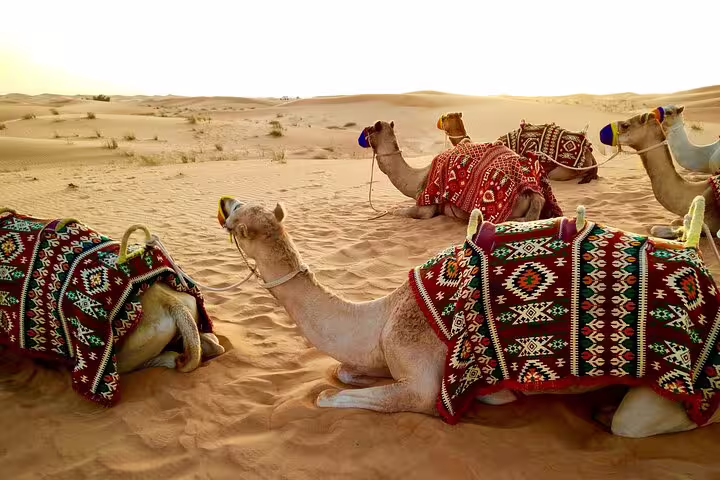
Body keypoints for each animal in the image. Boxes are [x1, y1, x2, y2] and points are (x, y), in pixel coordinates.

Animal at [218, 196, 720, 438]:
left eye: (239, 221)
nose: (224, 203)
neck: (381, 316)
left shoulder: (421, 379)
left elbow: (330, 396)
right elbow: (344, 373)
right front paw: (497, 396)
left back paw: (607, 412)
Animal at [359, 120, 560, 222]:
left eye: (369, 129)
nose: (362, 137)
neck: (418, 178)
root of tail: (534, 194)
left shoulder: (426, 206)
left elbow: (402, 212)